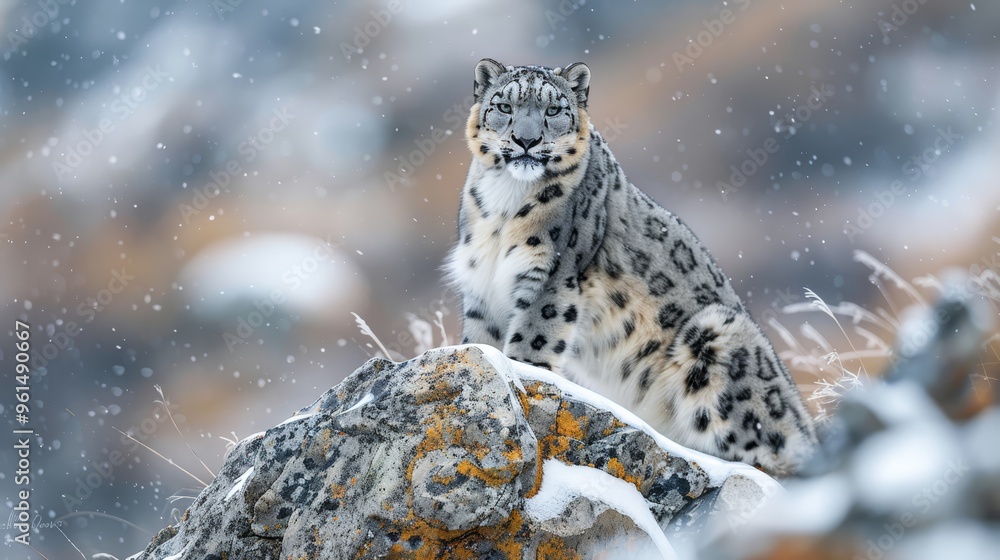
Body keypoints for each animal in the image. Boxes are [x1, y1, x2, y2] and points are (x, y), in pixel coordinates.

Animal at [445, 59, 816, 476]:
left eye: (553, 109)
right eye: (504, 106)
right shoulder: (482, 286)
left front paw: (523, 369)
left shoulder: (554, 277)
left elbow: (533, 340)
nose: (527, 141)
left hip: (717, 338)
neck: (504, 204)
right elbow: (482, 342)